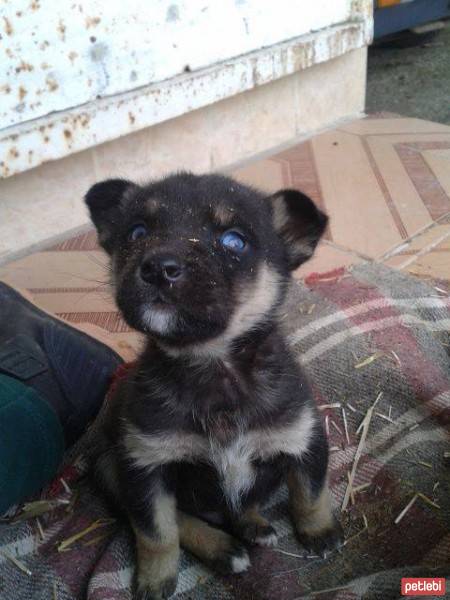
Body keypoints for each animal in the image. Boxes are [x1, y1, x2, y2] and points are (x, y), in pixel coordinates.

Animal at [85, 171, 342, 596]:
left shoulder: (303, 439)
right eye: (137, 233)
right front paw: (155, 579)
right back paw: (224, 549)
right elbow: (157, 533)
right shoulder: (145, 466)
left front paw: (319, 532)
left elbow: (311, 495)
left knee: (244, 502)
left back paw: (252, 527)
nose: (158, 267)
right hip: (108, 468)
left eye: (234, 241)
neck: (213, 366)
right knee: (180, 519)